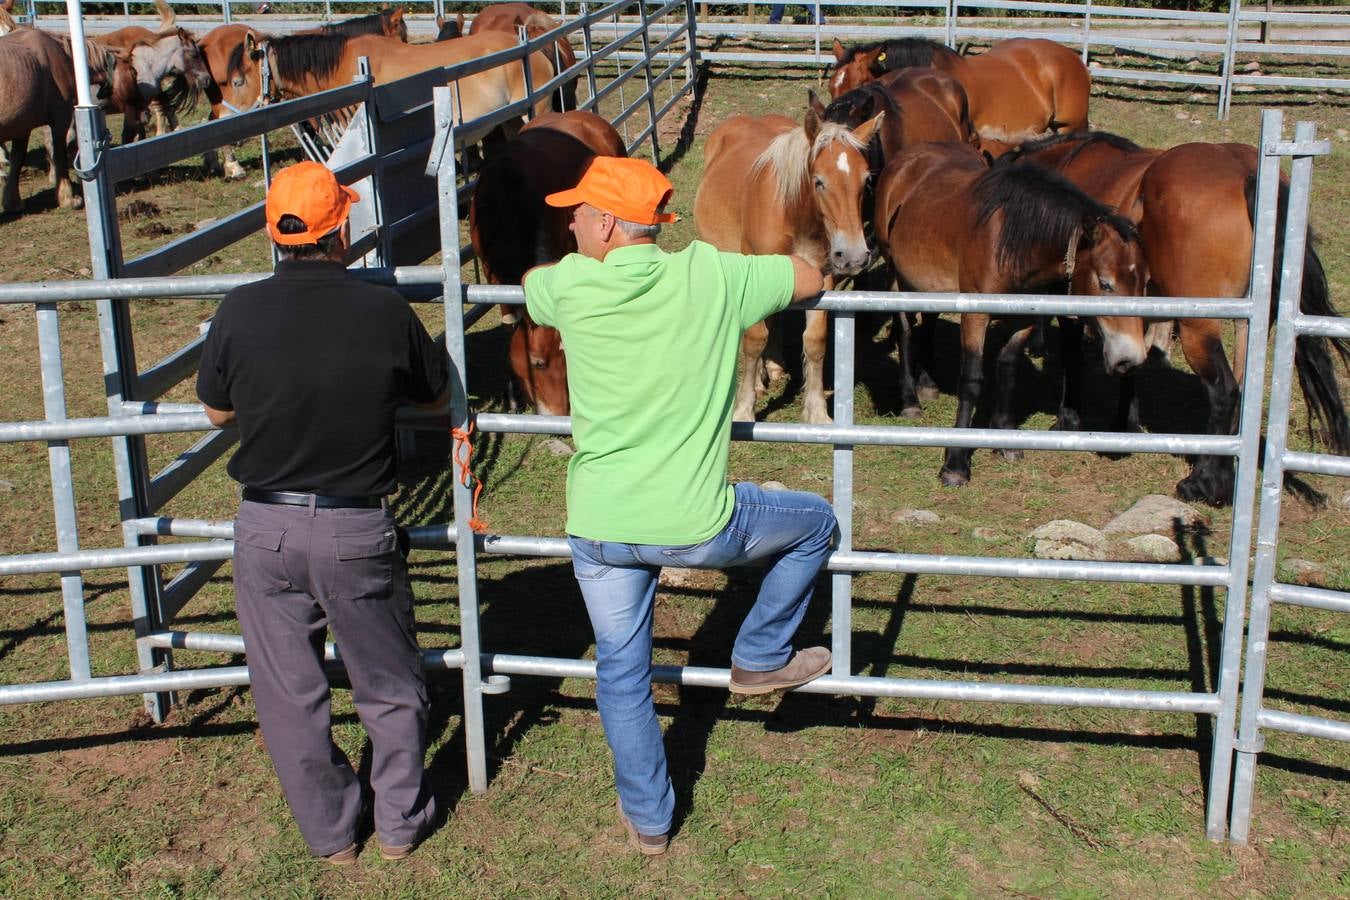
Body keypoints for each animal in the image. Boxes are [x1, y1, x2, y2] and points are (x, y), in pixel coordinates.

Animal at [696, 101, 885, 426]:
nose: (853, 256)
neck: (793, 215)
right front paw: (744, 409)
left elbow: (815, 341)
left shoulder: (821, 278)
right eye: (819, 181)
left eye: (866, 180)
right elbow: (754, 338)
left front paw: (817, 412)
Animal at [874, 141, 1150, 488]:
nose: (1131, 359)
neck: (1012, 241)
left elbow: (1007, 370)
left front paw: (1004, 441)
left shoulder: (1025, 318)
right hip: (895, 278)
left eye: (1145, 283)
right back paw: (910, 401)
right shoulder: (975, 317)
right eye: (1105, 283)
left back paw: (928, 382)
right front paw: (955, 464)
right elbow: (971, 381)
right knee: (905, 330)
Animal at [1004, 132, 1350, 507]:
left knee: (1224, 389)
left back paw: (1205, 484)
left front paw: (1069, 419)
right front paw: (1125, 425)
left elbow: (1073, 354)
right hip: (1249, 324)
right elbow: (1132, 362)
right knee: (1242, 389)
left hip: (1199, 327)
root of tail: (1247, 171)